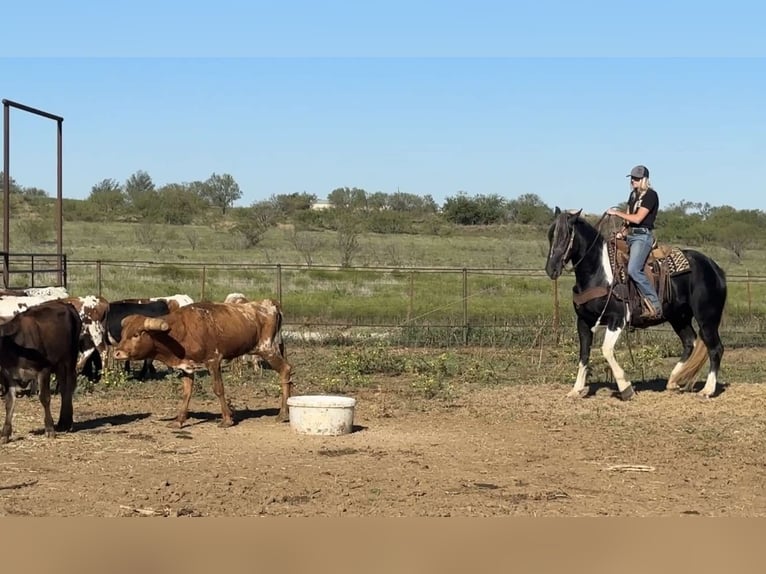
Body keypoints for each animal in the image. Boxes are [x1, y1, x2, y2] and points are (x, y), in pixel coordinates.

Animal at [544, 208, 727, 400]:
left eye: (565, 235)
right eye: (550, 235)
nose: (551, 268)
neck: (599, 271)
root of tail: (715, 268)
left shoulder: (617, 319)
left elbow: (606, 350)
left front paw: (626, 388)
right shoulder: (583, 321)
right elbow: (584, 354)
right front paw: (576, 389)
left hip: (707, 318)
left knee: (715, 348)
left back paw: (707, 390)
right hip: (679, 317)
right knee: (689, 342)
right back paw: (673, 381)